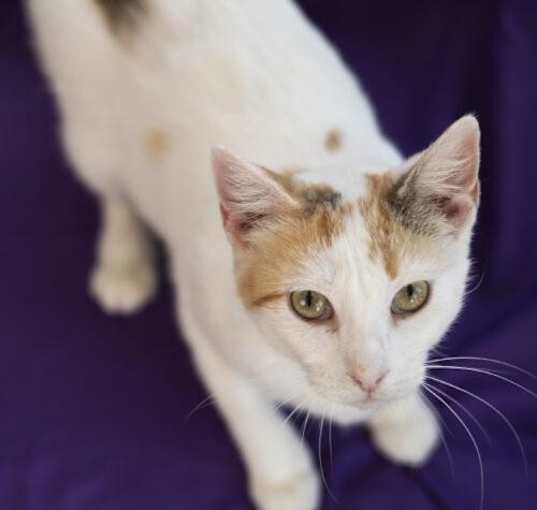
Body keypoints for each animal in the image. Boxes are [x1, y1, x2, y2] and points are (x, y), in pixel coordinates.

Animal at [28, 1, 482, 508]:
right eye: (309, 303)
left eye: (411, 295)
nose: (370, 378)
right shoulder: (204, 317)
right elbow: (248, 410)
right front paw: (284, 481)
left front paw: (403, 416)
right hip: (89, 125)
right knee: (112, 188)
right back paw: (123, 262)